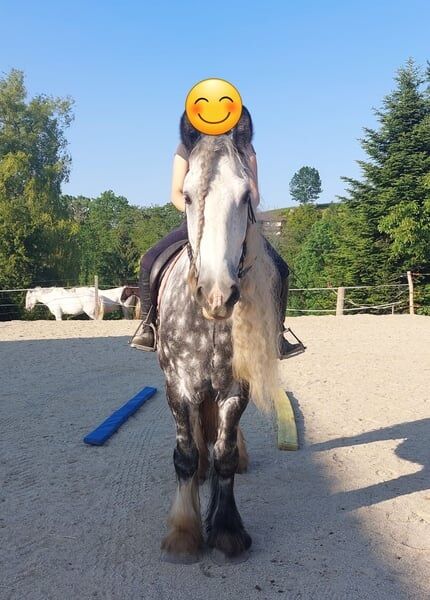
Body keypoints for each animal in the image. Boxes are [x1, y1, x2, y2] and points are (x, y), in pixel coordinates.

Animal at [156, 132, 280, 564]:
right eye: (188, 196)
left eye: (245, 196)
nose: (217, 295)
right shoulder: (177, 386)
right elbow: (185, 454)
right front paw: (183, 531)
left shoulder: (235, 388)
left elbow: (224, 454)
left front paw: (226, 529)